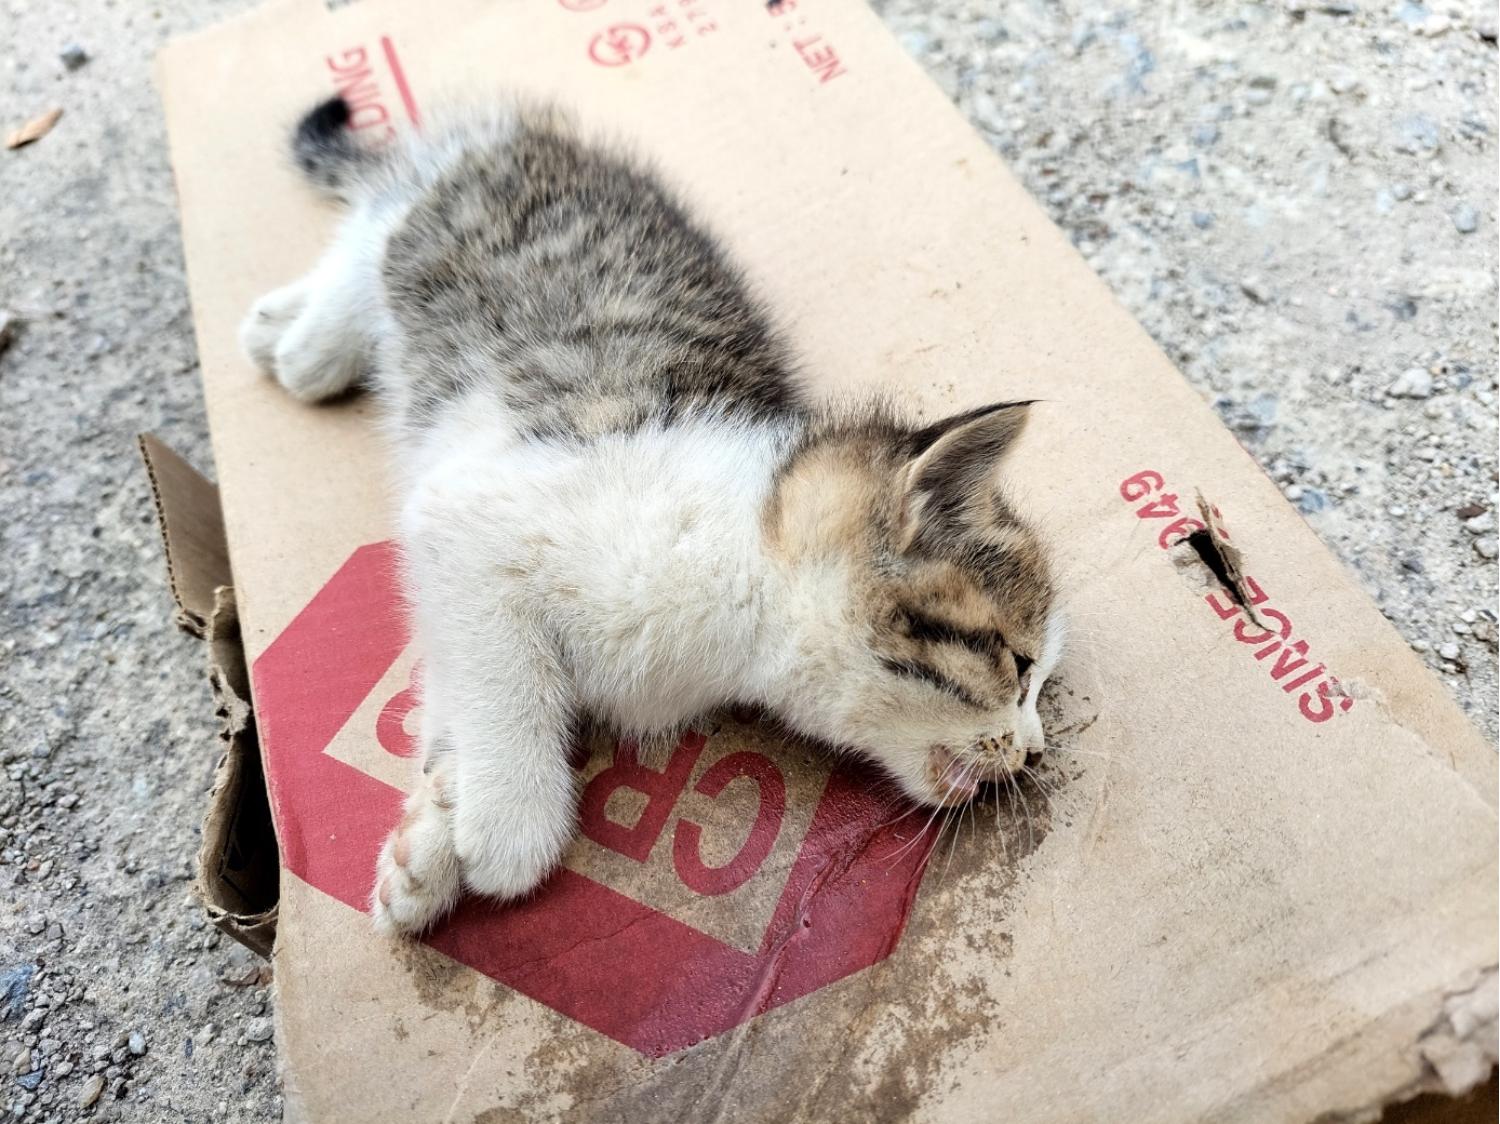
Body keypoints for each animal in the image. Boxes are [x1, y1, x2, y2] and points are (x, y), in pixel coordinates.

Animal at [240, 98, 1062, 936]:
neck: (743, 575)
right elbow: (505, 674)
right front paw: (509, 825)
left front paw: (428, 842)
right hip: (443, 222)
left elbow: (456, 683)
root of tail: (525, 135)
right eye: (1018, 664)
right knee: (380, 217)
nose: (1033, 751)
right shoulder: (471, 514)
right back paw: (303, 337)